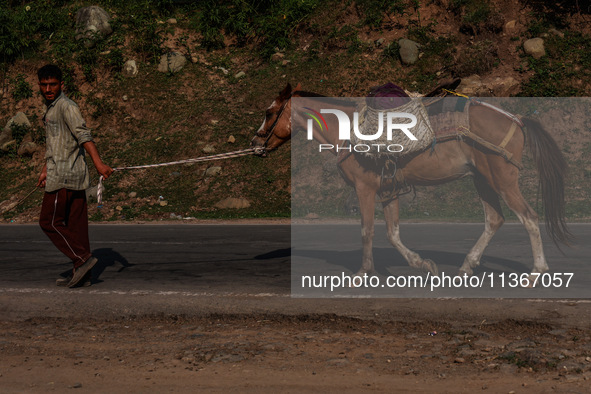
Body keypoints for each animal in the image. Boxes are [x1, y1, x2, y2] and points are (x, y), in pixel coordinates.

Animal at [252, 84, 572, 278]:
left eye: (269, 112)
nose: (255, 143)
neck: (349, 133)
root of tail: (516, 119)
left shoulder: (365, 189)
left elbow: (367, 231)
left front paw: (363, 273)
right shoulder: (388, 190)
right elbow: (393, 233)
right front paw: (423, 264)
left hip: (502, 180)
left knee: (529, 217)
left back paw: (538, 271)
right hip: (483, 179)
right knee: (495, 219)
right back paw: (467, 266)